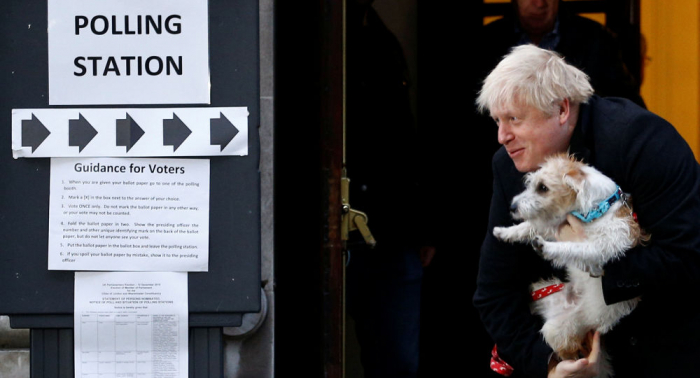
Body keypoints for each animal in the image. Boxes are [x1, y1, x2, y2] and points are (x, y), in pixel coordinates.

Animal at [492, 154, 644, 378]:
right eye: (530, 183)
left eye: (543, 187)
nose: (512, 207)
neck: (595, 210)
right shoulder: (554, 224)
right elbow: (529, 226)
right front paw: (504, 232)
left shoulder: (600, 248)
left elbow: (572, 248)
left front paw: (546, 247)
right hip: (540, 293)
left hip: (560, 328)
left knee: (567, 351)